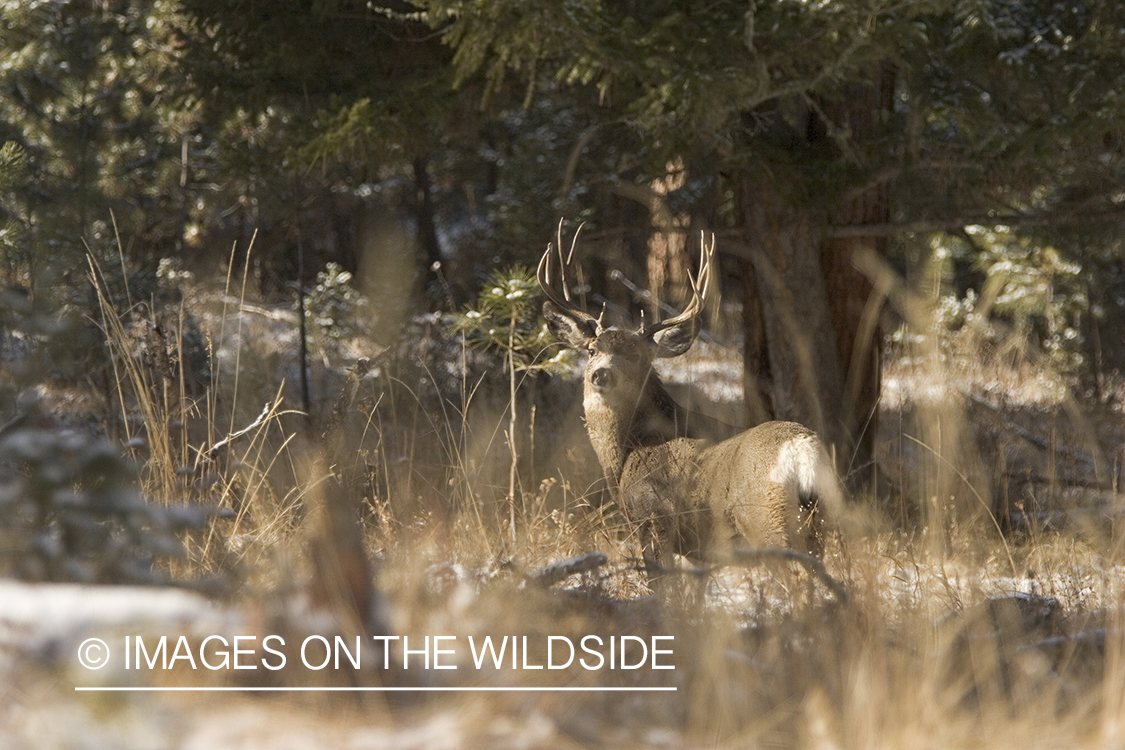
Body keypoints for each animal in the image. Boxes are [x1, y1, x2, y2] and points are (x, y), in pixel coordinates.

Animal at [539, 234, 843, 584]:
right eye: (591, 350)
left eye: (638, 355)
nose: (601, 374)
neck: (630, 451)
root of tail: (803, 449)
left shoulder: (653, 520)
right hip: (818, 522)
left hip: (767, 520)